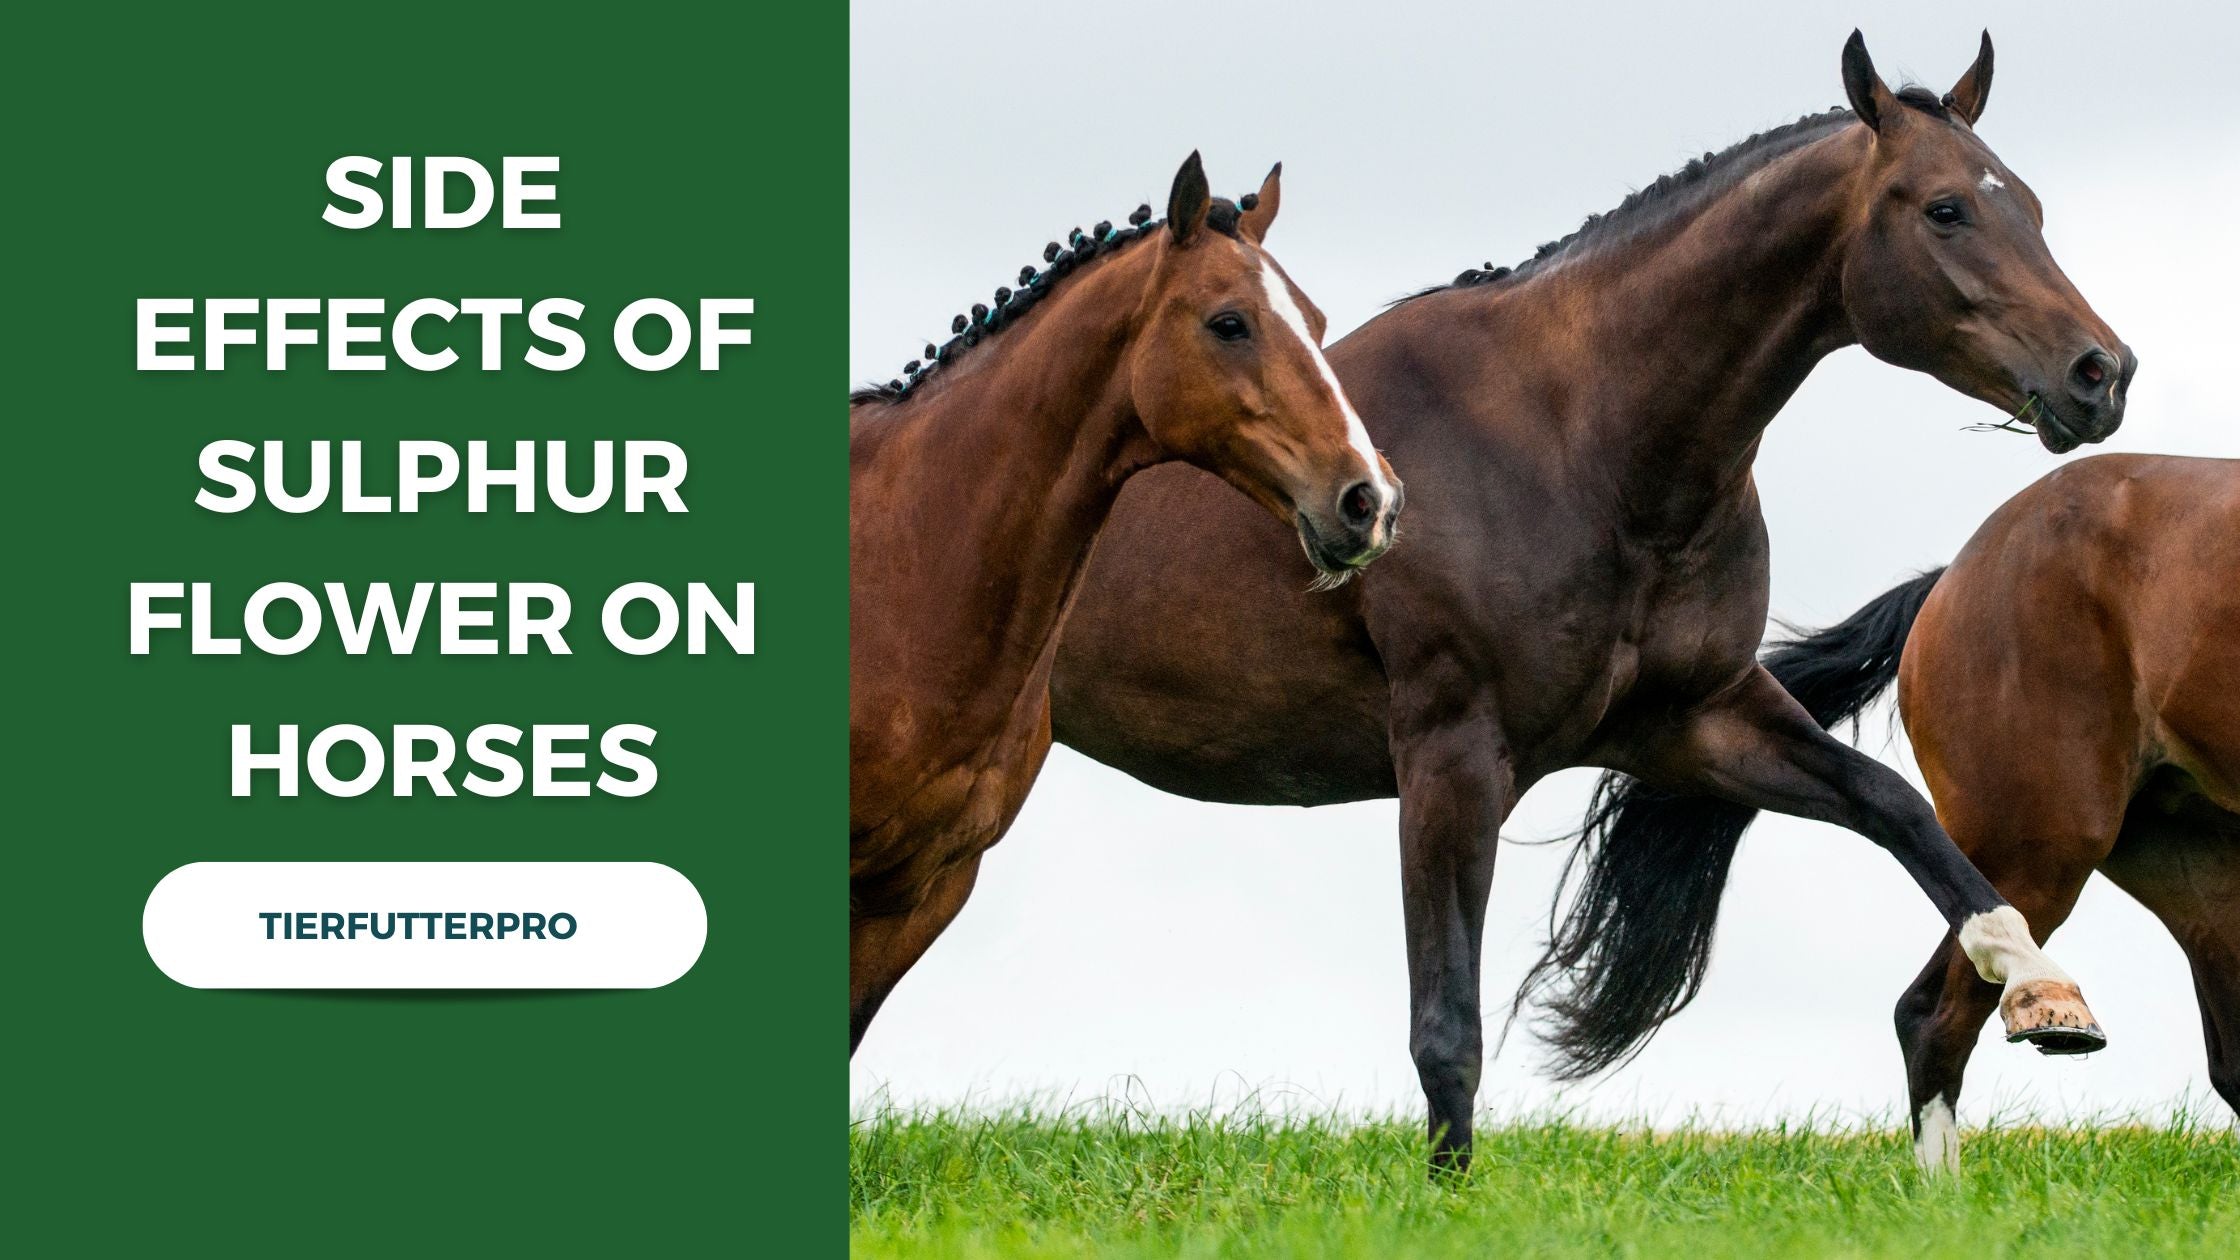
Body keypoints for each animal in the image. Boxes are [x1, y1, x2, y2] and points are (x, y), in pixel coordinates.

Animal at [1049, 31, 2134, 1171]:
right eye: (1944, 208)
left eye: (2028, 204)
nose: (2100, 372)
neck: (1576, 439)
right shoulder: (1451, 755)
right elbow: (1446, 1025)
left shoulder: (1699, 722)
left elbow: (1900, 811)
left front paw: (2038, 985)